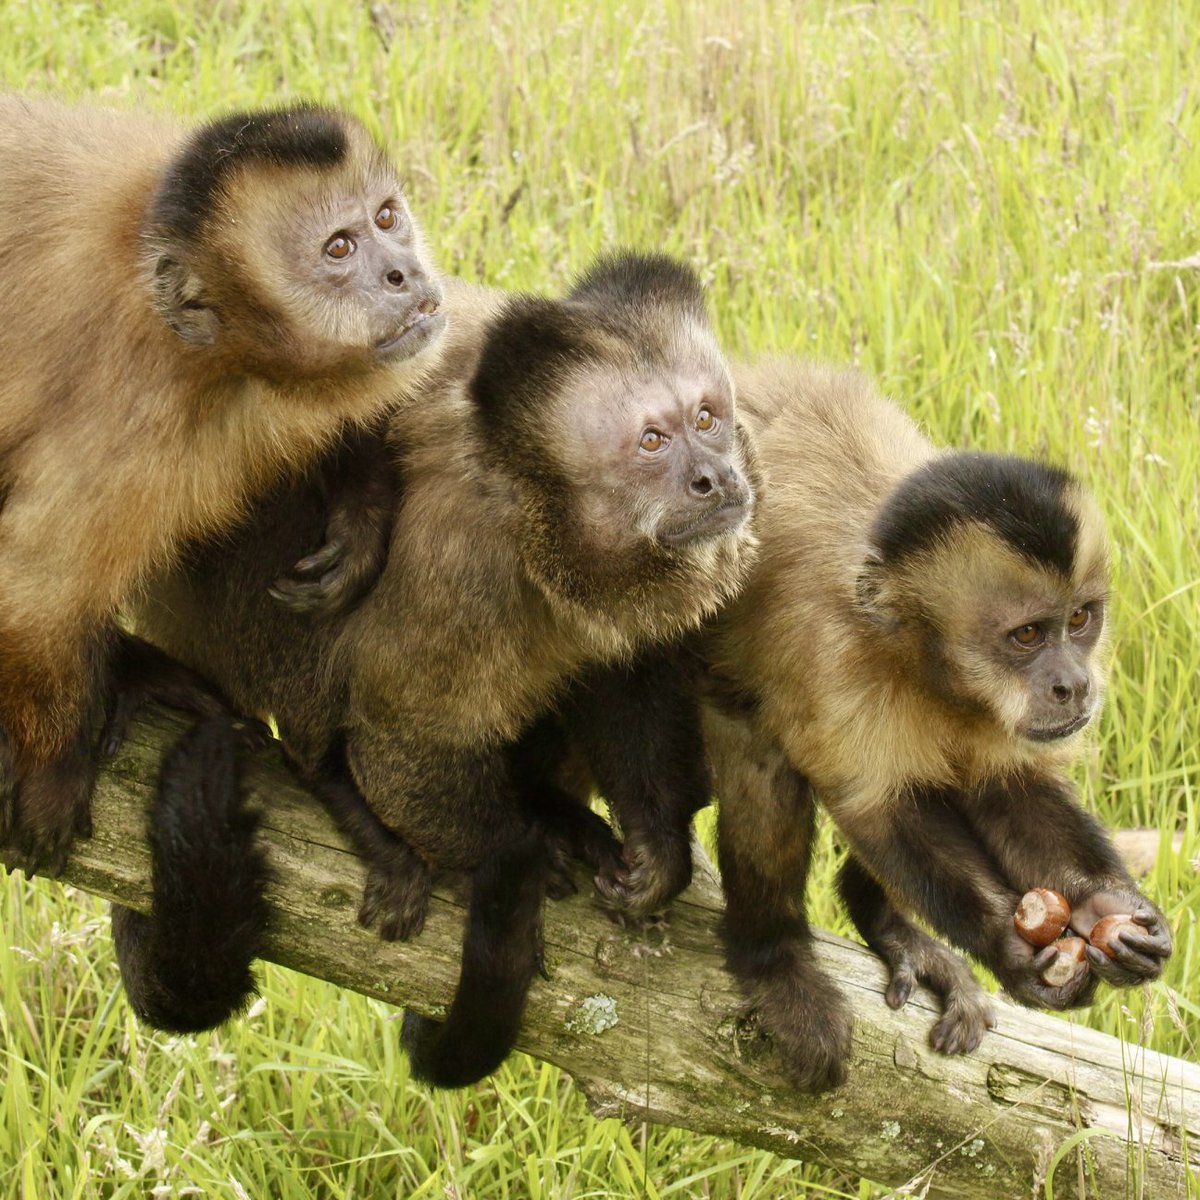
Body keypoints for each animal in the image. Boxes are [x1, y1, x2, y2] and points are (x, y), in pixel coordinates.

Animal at [0, 96, 445, 873]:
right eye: (339, 249)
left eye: (387, 218)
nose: (402, 270)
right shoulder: (132, 416)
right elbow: (33, 592)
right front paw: (52, 768)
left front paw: (360, 516)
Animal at [113, 252, 759, 1087]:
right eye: (653, 441)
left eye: (707, 418)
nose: (715, 475)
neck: (531, 502)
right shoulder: (462, 565)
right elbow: (403, 733)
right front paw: (517, 854)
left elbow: (626, 676)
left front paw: (657, 849)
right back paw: (335, 785)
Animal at [700, 358, 1173, 1088]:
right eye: (1027, 635)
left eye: (1080, 620)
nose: (1073, 683)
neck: (920, 657)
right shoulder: (832, 659)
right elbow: (876, 807)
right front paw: (1009, 946)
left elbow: (1009, 786)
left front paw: (1104, 909)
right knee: (761, 756)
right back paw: (771, 958)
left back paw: (884, 922)